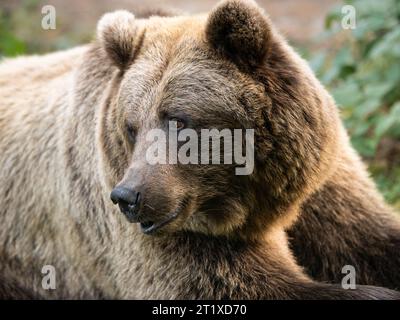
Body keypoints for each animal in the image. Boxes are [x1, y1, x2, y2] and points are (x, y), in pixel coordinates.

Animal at [0, 0, 398, 300]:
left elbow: (369, 237)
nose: (128, 196)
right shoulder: (168, 231)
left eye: (178, 120)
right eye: (131, 127)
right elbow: (233, 282)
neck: (254, 201)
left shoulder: (319, 187)